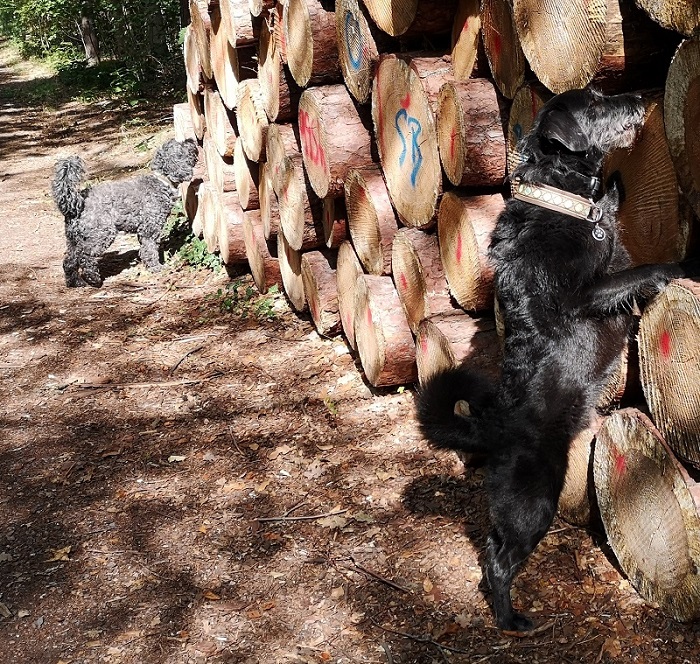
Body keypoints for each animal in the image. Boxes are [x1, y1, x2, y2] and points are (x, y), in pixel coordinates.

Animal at [52, 137, 198, 286]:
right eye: (181, 145)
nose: (191, 140)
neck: (161, 181)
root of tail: (77, 202)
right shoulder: (150, 230)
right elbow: (150, 249)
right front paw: (156, 267)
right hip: (102, 234)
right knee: (86, 257)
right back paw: (93, 278)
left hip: (73, 240)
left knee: (69, 261)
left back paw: (75, 282)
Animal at [412, 88, 696, 632]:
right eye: (594, 105)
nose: (637, 96)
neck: (563, 202)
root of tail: (493, 429)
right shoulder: (586, 294)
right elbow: (647, 269)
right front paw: (687, 263)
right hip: (534, 499)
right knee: (499, 561)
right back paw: (512, 620)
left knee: (490, 550)